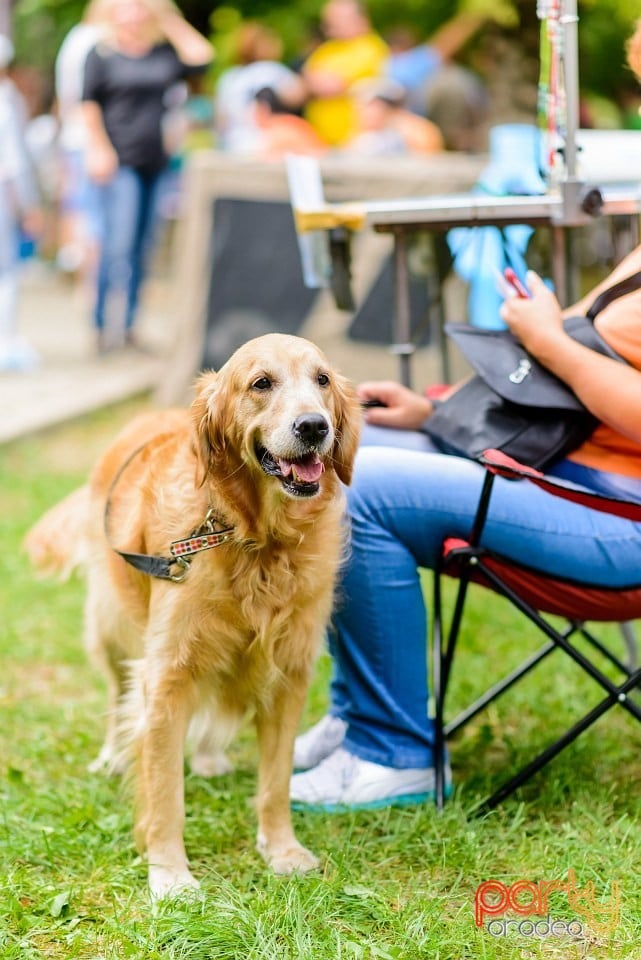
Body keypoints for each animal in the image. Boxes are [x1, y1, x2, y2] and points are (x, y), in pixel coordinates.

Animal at [27, 334, 360, 896]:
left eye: (322, 380)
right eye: (261, 383)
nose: (314, 426)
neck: (256, 540)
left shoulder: (289, 673)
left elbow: (276, 781)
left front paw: (283, 850)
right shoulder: (167, 674)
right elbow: (165, 792)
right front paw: (170, 876)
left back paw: (207, 755)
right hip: (113, 625)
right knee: (117, 693)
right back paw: (111, 756)